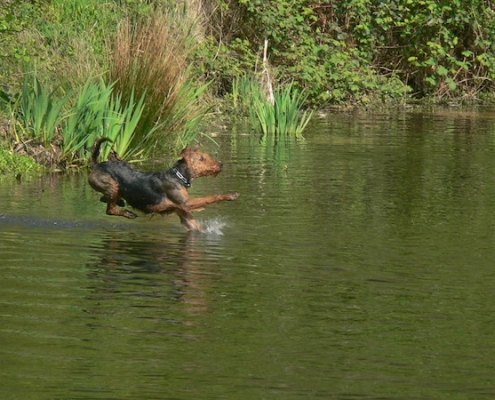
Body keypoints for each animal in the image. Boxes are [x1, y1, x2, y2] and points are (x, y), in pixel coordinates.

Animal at [88, 138, 240, 230]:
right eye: (202, 159)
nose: (221, 165)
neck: (179, 177)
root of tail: (97, 165)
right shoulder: (186, 203)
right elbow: (211, 197)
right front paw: (232, 195)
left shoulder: (184, 214)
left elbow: (196, 227)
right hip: (111, 185)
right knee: (110, 209)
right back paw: (128, 213)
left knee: (106, 200)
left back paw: (121, 202)